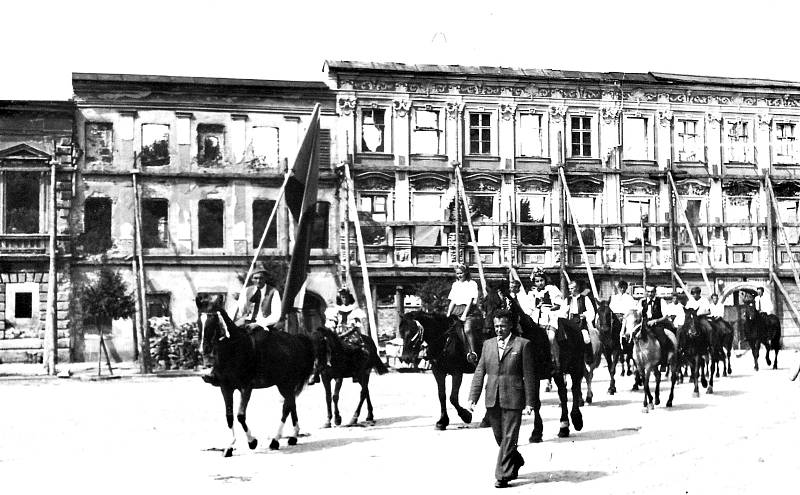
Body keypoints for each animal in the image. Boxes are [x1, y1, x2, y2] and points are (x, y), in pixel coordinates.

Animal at [197, 292, 316, 460]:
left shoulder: (246, 387)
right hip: (283, 384)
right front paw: (229, 447)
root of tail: (297, 339)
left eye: (213, 321)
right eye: (199, 322)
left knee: (286, 407)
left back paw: (276, 440)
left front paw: (252, 442)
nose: (203, 349)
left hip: (286, 383)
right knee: (291, 404)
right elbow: (229, 416)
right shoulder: (226, 388)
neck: (233, 350)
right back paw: (293, 436)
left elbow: (240, 415)